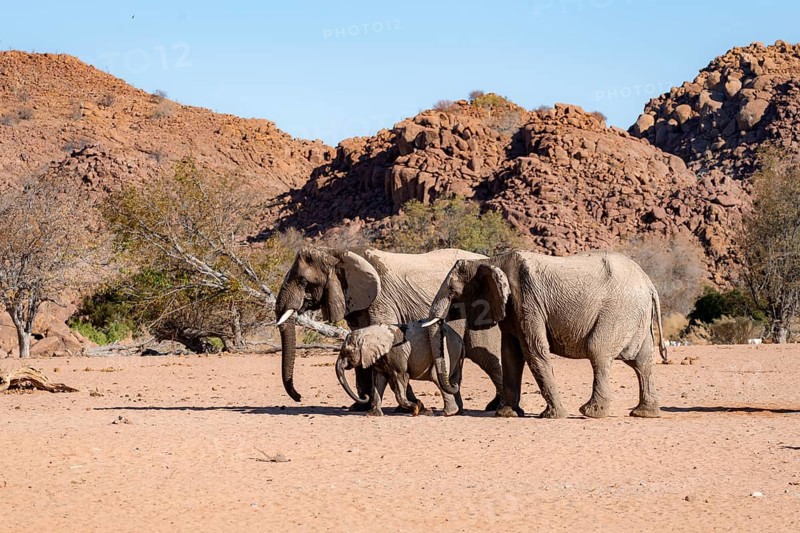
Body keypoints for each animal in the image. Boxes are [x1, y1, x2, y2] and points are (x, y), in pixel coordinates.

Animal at [336, 321, 465, 416]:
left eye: (347, 352)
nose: (365, 397)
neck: (370, 331)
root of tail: (459, 339)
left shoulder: (396, 353)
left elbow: (401, 377)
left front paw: (416, 409)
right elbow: (378, 381)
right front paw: (373, 414)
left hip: (448, 350)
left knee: (436, 377)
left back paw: (449, 413)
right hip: (455, 354)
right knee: (454, 380)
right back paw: (458, 411)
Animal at [423, 249, 667, 419]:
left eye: (452, 291)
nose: (454, 383)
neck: (491, 261)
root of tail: (649, 284)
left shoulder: (526, 298)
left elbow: (533, 350)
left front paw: (552, 416)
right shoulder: (511, 308)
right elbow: (511, 355)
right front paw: (507, 414)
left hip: (618, 311)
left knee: (598, 352)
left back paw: (591, 413)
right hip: (634, 316)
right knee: (642, 362)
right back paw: (644, 413)